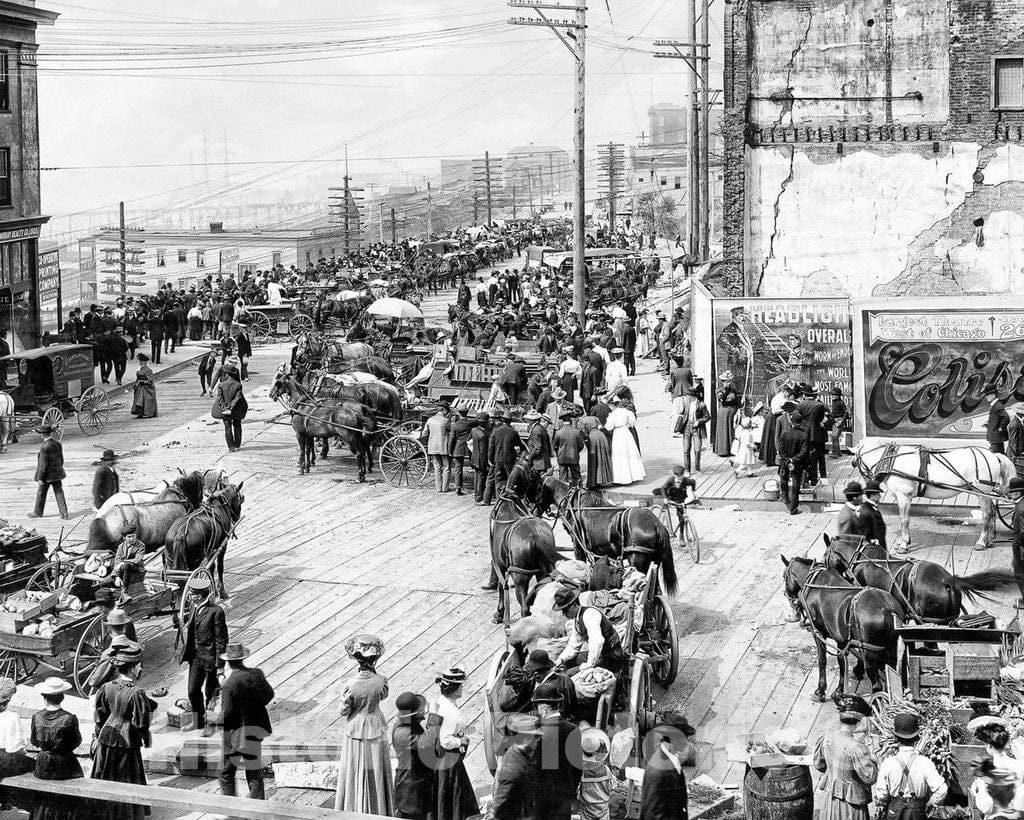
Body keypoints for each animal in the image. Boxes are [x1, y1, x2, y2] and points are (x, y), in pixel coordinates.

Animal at [532, 472, 675, 593]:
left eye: (536, 487)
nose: (533, 512)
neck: (572, 504)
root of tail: (656, 524)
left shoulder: (578, 546)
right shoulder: (596, 551)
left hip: (638, 562)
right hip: (654, 562)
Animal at [778, 552, 901, 700]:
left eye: (785, 577)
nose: (787, 594)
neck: (813, 582)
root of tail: (890, 609)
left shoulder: (818, 633)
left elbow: (822, 660)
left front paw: (820, 690)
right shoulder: (842, 641)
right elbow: (842, 663)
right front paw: (839, 690)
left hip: (870, 653)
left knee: (877, 685)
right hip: (891, 649)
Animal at [847, 434, 1015, 548]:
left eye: (855, 459)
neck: (891, 460)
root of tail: (994, 455)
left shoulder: (904, 496)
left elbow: (904, 520)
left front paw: (904, 544)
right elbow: (903, 519)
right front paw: (903, 541)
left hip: (981, 491)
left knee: (986, 515)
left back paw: (981, 542)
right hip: (985, 493)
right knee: (992, 512)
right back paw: (990, 539)